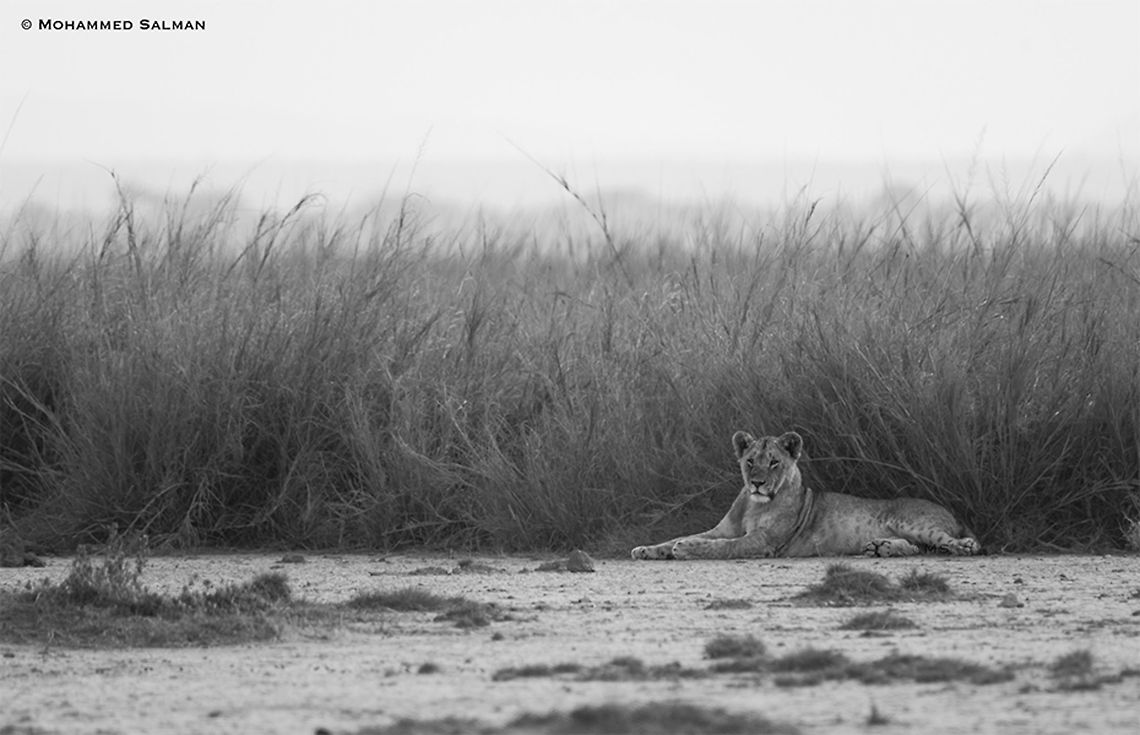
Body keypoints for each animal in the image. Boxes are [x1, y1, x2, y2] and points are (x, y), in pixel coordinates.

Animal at [631, 430, 981, 560]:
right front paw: (647, 549)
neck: (754, 505)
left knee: (957, 543)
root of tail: (953, 514)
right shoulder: (723, 528)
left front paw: (686, 548)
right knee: (918, 548)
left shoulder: (764, 542)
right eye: (750, 461)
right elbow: (685, 536)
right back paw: (879, 547)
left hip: (910, 521)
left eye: (774, 461)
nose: (757, 483)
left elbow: (723, 547)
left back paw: (963, 546)